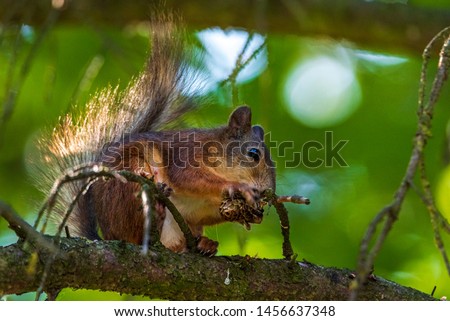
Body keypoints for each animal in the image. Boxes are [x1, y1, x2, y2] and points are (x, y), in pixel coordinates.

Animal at [32, 14, 274, 255]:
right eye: (254, 154)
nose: (267, 191)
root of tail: (108, 235)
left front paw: (253, 216)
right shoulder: (187, 153)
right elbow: (187, 176)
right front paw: (237, 187)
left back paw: (204, 244)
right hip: (128, 185)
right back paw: (156, 208)